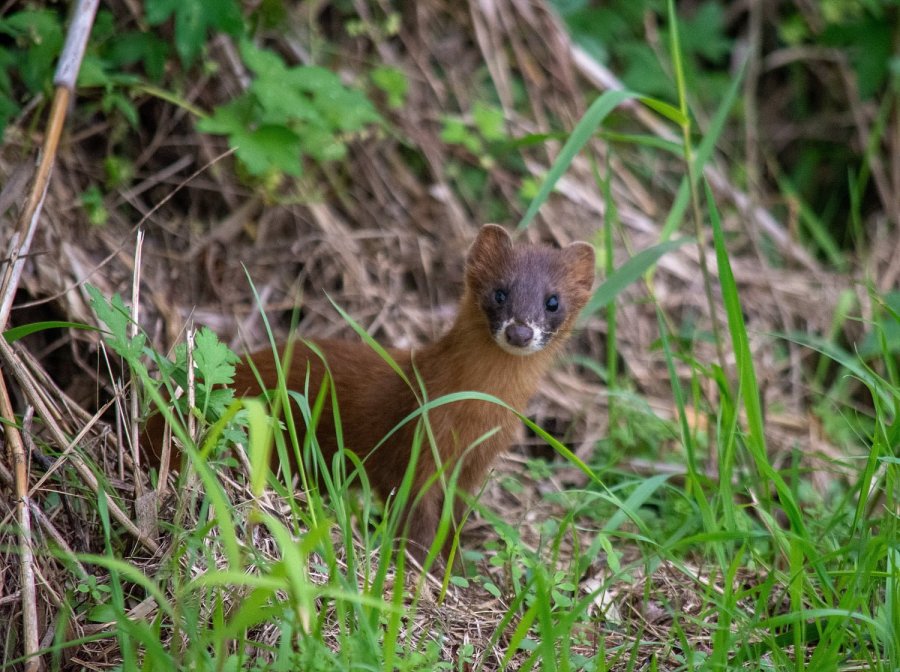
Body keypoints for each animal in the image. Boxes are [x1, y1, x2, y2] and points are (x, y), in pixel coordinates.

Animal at [144, 226, 596, 560]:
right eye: (500, 292)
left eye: (553, 301)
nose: (520, 331)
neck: (473, 416)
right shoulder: (416, 444)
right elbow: (415, 520)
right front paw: (421, 571)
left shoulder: (475, 464)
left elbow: (452, 522)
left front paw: (449, 563)